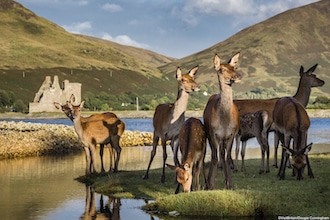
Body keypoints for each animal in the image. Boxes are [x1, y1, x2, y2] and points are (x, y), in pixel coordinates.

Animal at [202, 52, 241, 189]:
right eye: (222, 69)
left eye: (234, 67)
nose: (238, 76)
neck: (224, 122)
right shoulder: (213, 133)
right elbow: (214, 157)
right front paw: (210, 184)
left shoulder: (231, 134)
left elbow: (228, 157)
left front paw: (230, 184)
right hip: (212, 136)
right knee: (217, 154)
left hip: (224, 138)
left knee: (223, 155)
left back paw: (226, 181)